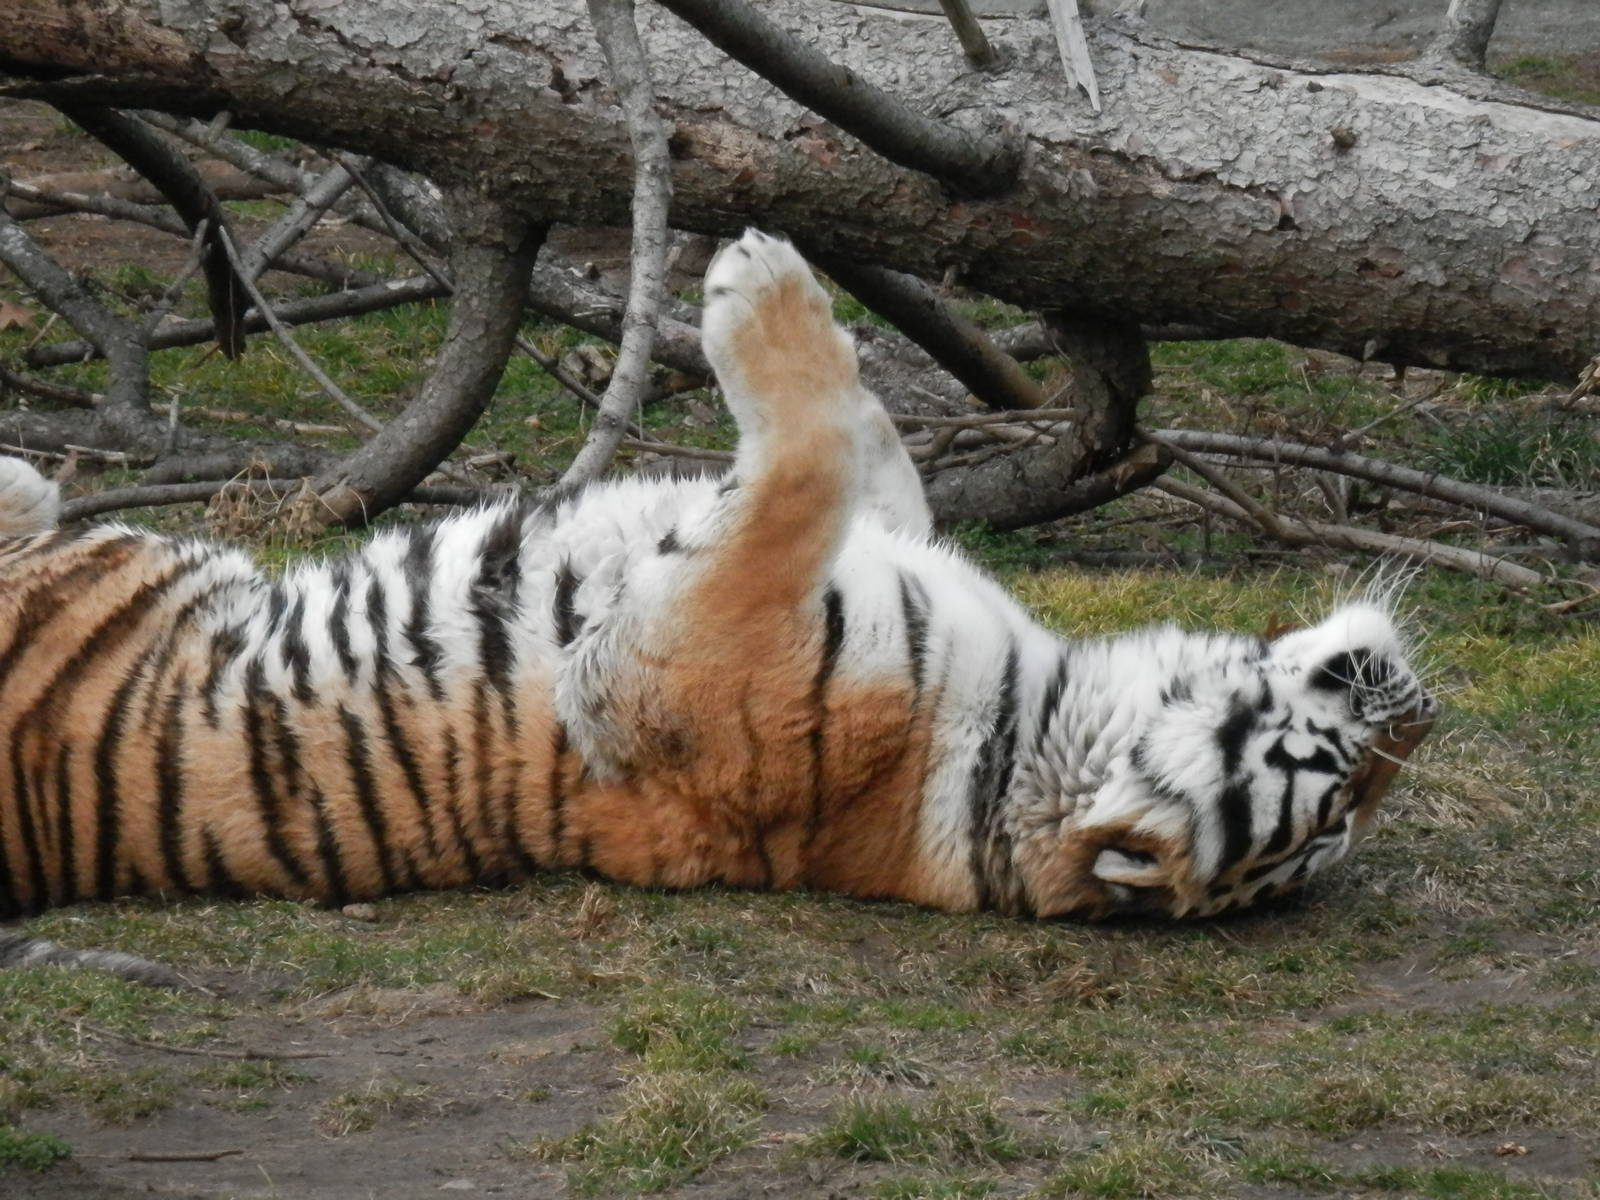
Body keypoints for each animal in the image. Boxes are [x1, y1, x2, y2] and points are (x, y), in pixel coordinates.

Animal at [0, 230, 1434, 929]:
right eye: (1346, 787)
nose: (1415, 711)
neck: (1035, 721)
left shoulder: (660, 660)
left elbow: (800, 476)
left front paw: (759, 287)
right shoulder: (891, 546)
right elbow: (865, 453)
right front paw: (814, 298)